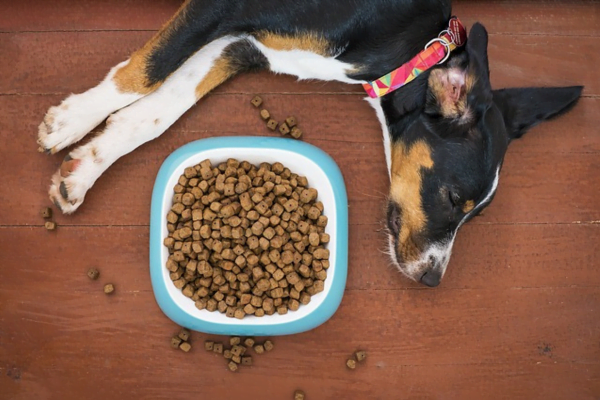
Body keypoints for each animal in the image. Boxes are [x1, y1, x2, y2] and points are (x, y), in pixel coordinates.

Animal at [37, 0, 580, 288]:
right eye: (451, 198)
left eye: (477, 216)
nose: (431, 280)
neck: (411, 45)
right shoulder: (222, 9)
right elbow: (146, 71)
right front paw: (70, 121)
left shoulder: (244, 45)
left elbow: (157, 110)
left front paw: (85, 168)